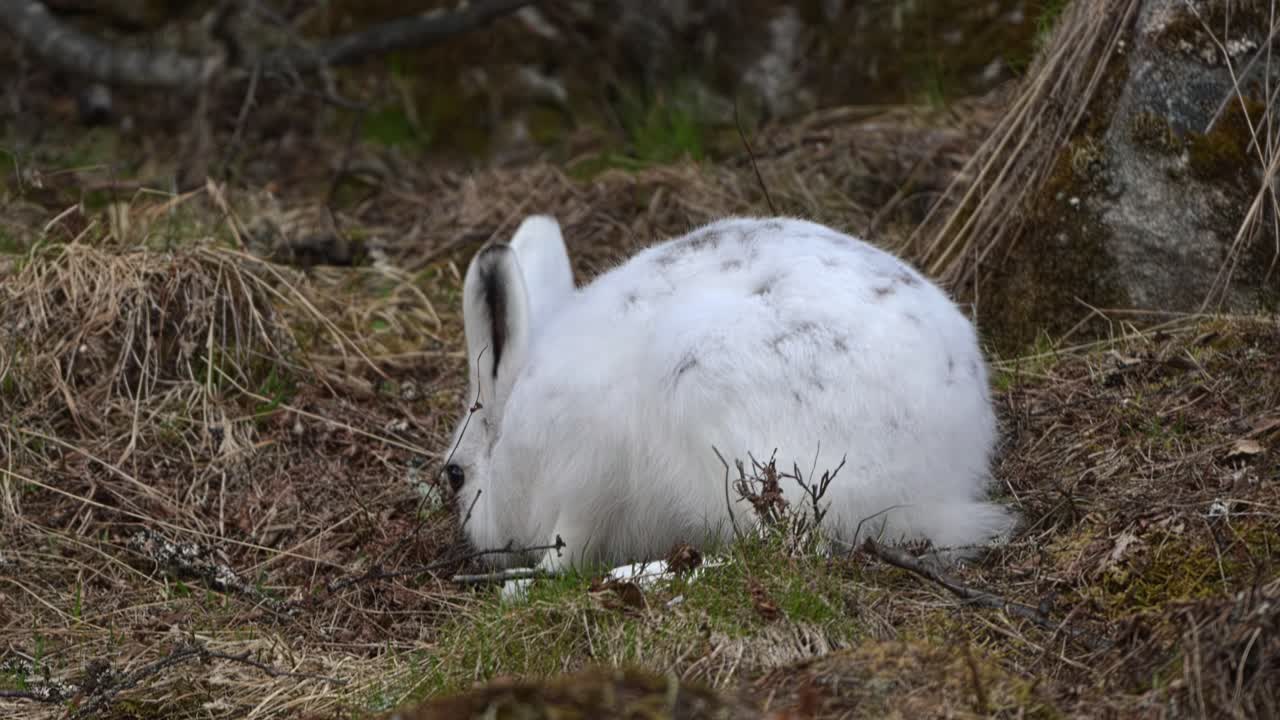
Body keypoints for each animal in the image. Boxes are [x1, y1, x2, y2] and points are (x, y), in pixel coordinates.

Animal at [443, 215, 1014, 573]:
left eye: (454, 476)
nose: (469, 548)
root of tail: (937, 482)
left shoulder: (587, 479)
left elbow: (568, 548)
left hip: (729, 427)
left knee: (782, 549)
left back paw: (642, 574)